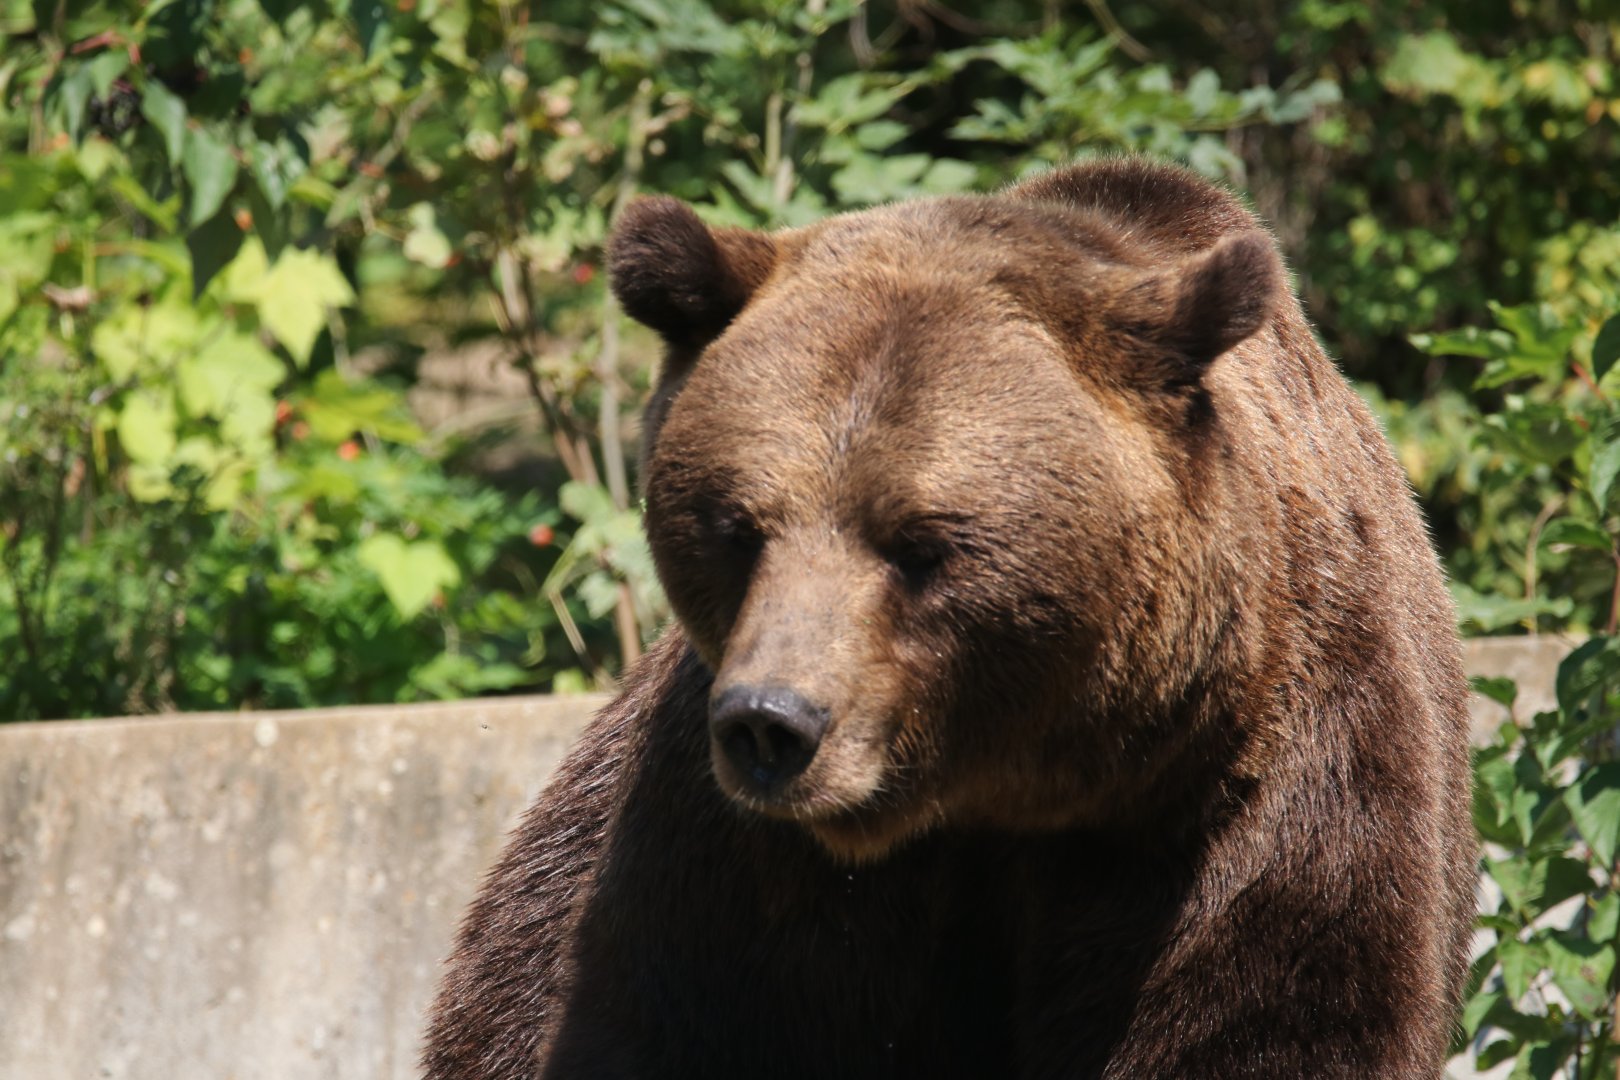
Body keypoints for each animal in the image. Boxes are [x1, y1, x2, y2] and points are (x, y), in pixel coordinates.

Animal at [422, 157, 1475, 1079]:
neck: (1007, 795)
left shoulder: (1263, 805)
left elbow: (1262, 1018)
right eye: (737, 526)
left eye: (920, 543)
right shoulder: (726, 858)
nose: (773, 724)